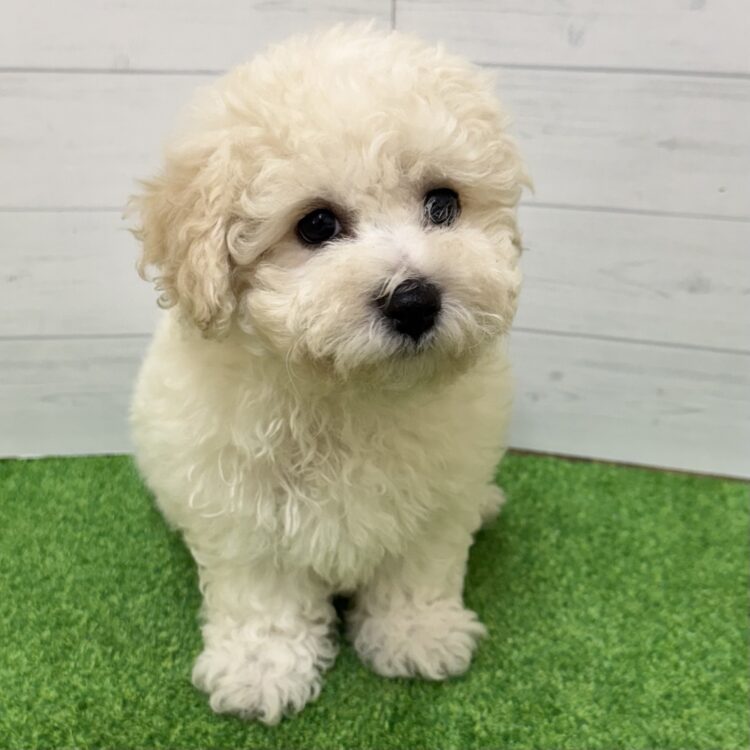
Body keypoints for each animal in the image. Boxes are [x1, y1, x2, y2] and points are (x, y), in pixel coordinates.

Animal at [129, 24, 528, 724]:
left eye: (444, 203)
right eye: (316, 224)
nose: (414, 300)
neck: (349, 391)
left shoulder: (436, 496)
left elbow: (418, 566)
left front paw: (417, 633)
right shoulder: (240, 506)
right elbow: (262, 594)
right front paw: (261, 669)